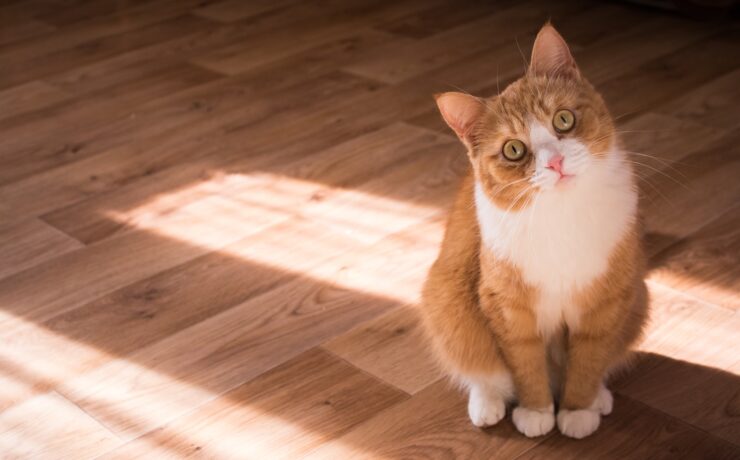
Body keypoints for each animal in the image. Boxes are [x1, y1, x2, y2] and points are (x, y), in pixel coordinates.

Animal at [420, 23, 652, 440]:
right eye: (513, 150)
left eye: (563, 120)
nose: (555, 162)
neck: (561, 216)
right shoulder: (507, 307)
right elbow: (524, 364)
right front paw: (537, 411)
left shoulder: (607, 302)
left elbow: (589, 359)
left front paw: (577, 409)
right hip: (446, 300)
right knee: (481, 369)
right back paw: (487, 403)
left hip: (638, 298)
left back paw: (598, 396)